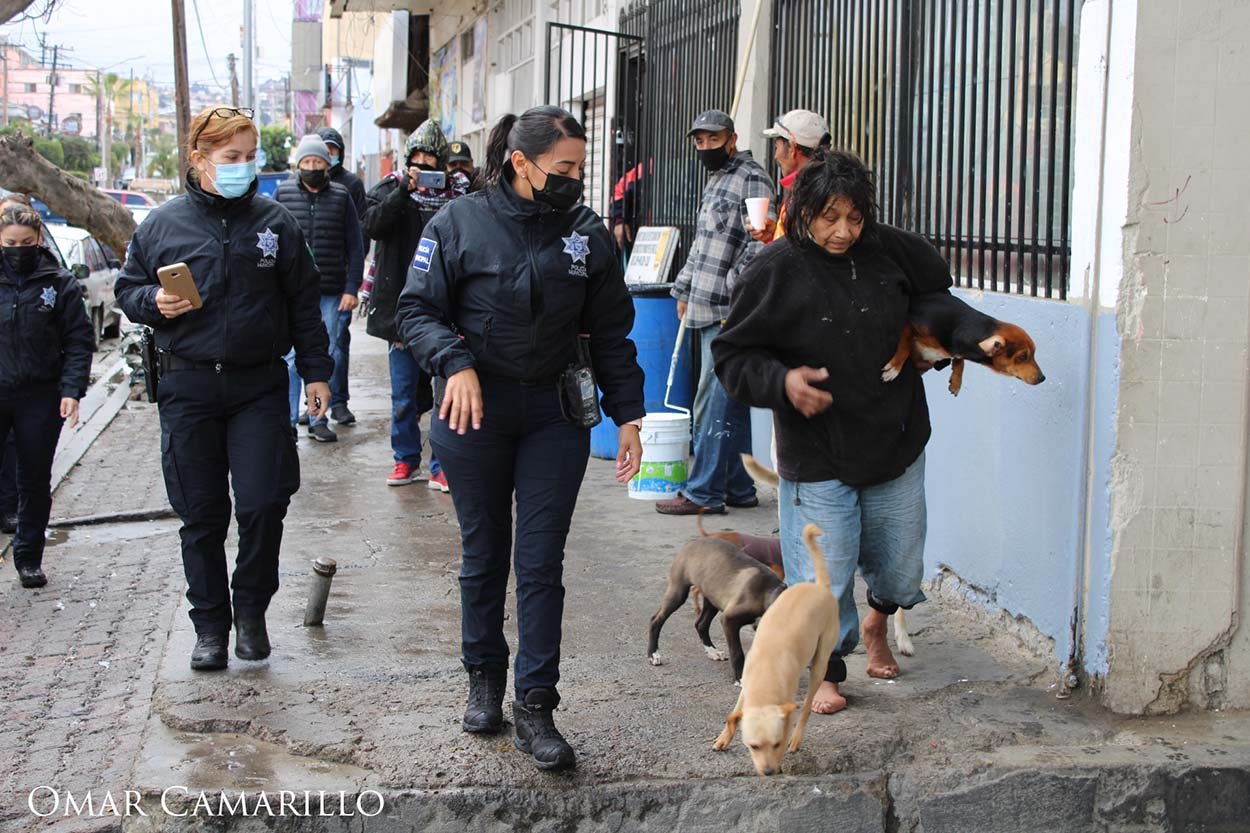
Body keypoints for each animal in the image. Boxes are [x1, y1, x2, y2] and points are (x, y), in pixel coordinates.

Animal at [715, 522, 840, 775]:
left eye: (777, 744)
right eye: (753, 746)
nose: (769, 772)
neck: (766, 675)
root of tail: (820, 587)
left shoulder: (786, 708)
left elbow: (791, 718)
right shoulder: (745, 690)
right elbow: (734, 714)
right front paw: (725, 737)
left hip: (820, 663)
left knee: (807, 706)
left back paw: (798, 737)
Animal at [880, 291, 1045, 395]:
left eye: (1034, 354)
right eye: (1022, 357)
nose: (1042, 379)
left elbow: (960, 361)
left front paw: (956, 381)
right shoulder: (909, 322)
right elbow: (906, 343)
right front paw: (895, 367)